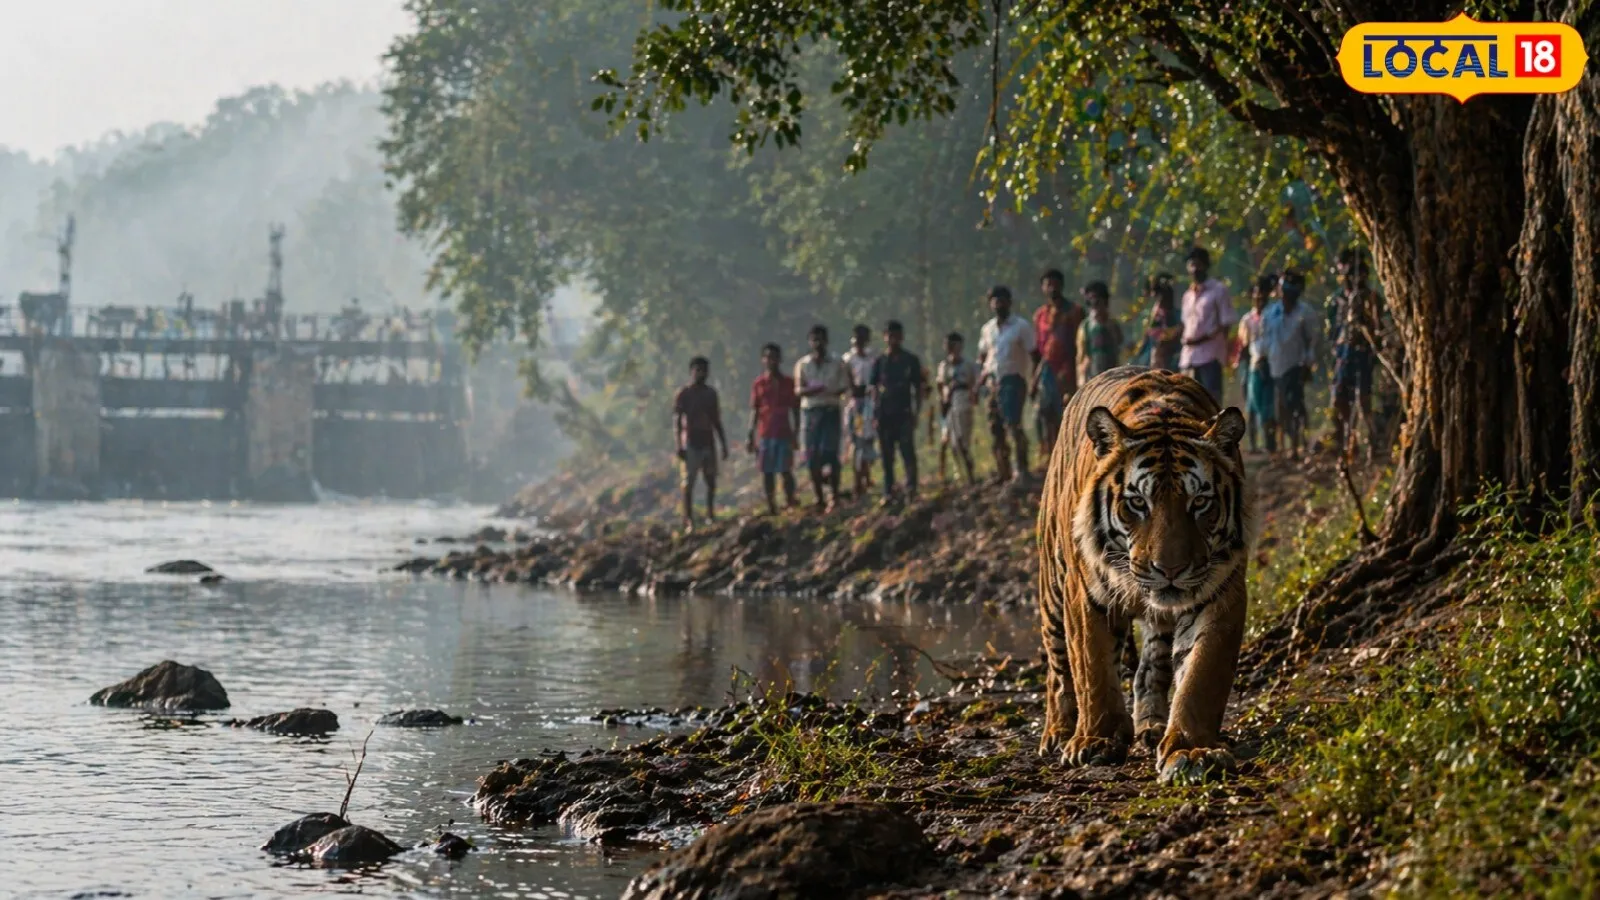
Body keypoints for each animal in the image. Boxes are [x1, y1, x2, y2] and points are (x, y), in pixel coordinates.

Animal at [1036, 366, 1253, 784]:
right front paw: (1096, 740)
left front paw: (1192, 749)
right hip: (1052, 588)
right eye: (1138, 502)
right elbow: (1091, 667)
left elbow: (1201, 675)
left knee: (1151, 667)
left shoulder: (1222, 591)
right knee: (1058, 669)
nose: (1169, 569)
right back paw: (1057, 732)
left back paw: (1151, 726)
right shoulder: (1083, 593)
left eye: (1199, 502)